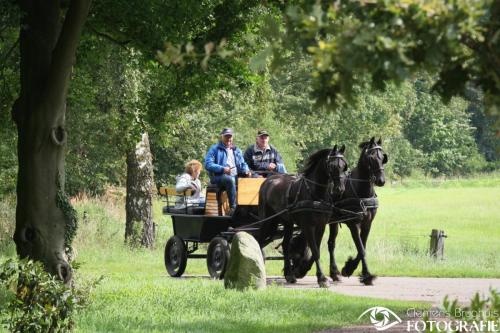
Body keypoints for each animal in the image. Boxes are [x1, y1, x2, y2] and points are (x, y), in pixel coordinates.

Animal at [258, 144, 348, 286]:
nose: (340, 189)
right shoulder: (308, 226)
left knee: (285, 245)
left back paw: (289, 275)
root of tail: (268, 180)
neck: (315, 193)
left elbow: (316, 249)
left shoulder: (321, 225)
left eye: (344, 165)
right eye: (332, 166)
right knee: (258, 241)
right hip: (267, 221)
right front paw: (322, 278)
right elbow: (315, 251)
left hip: (287, 222)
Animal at [326, 136, 388, 284]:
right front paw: (365, 275)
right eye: (371, 157)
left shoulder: (367, 224)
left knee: (331, 244)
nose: (381, 180)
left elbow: (362, 247)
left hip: (333, 222)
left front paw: (352, 269)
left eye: (383, 157)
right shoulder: (353, 224)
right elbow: (361, 248)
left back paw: (334, 274)